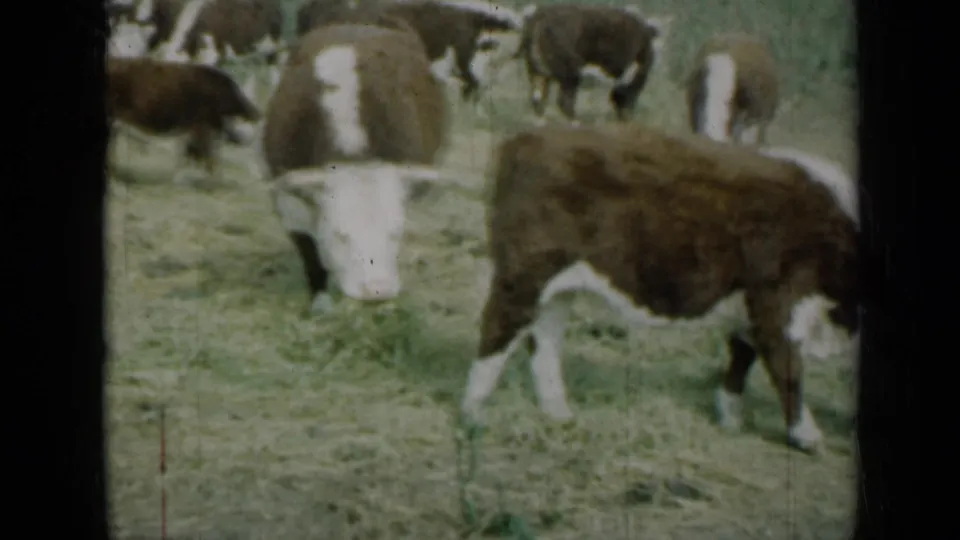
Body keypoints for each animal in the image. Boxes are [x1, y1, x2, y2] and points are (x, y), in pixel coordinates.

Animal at [106, 57, 261, 184]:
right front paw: (209, 183)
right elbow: (206, 156)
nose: (257, 114)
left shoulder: (197, 128)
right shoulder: (202, 126)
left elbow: (193, 153)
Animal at [259, 23, 456, 312]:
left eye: (395, 234)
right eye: (341, 235)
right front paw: (321, 304)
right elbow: (310, 253)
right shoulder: (288, 198)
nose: (376, 290)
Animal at [459, 123, 859, 454]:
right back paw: (473, 412)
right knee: (498, 328)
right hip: (525, 274)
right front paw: (806, 435)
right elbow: (787, 367)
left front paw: (730, 416)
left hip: (557, 290)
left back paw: (558, 413)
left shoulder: (750, 303)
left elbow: (743, 353)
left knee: (544, 340)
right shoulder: (779, 300)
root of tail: (527, 138)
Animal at [516, 4, 671, 123]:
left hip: (537, 70)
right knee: (564, 99)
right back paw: (576, 120)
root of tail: (537, 20)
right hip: (570, 69)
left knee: (538, 95)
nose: (626, 118)